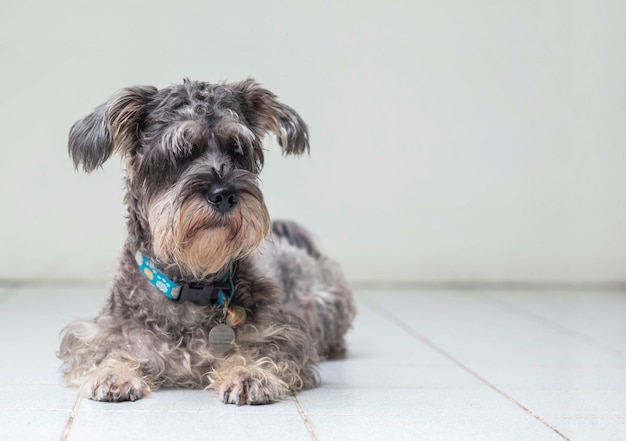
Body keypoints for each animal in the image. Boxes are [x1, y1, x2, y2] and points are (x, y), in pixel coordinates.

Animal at [59, 78, 356, 402]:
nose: (224, 194)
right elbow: (107, 349)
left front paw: (249, 374)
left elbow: (263, 349)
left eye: (238, 149)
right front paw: (114, 374)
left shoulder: (283, 332)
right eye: (180, 151)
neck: (192, 283)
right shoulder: (100, 332)